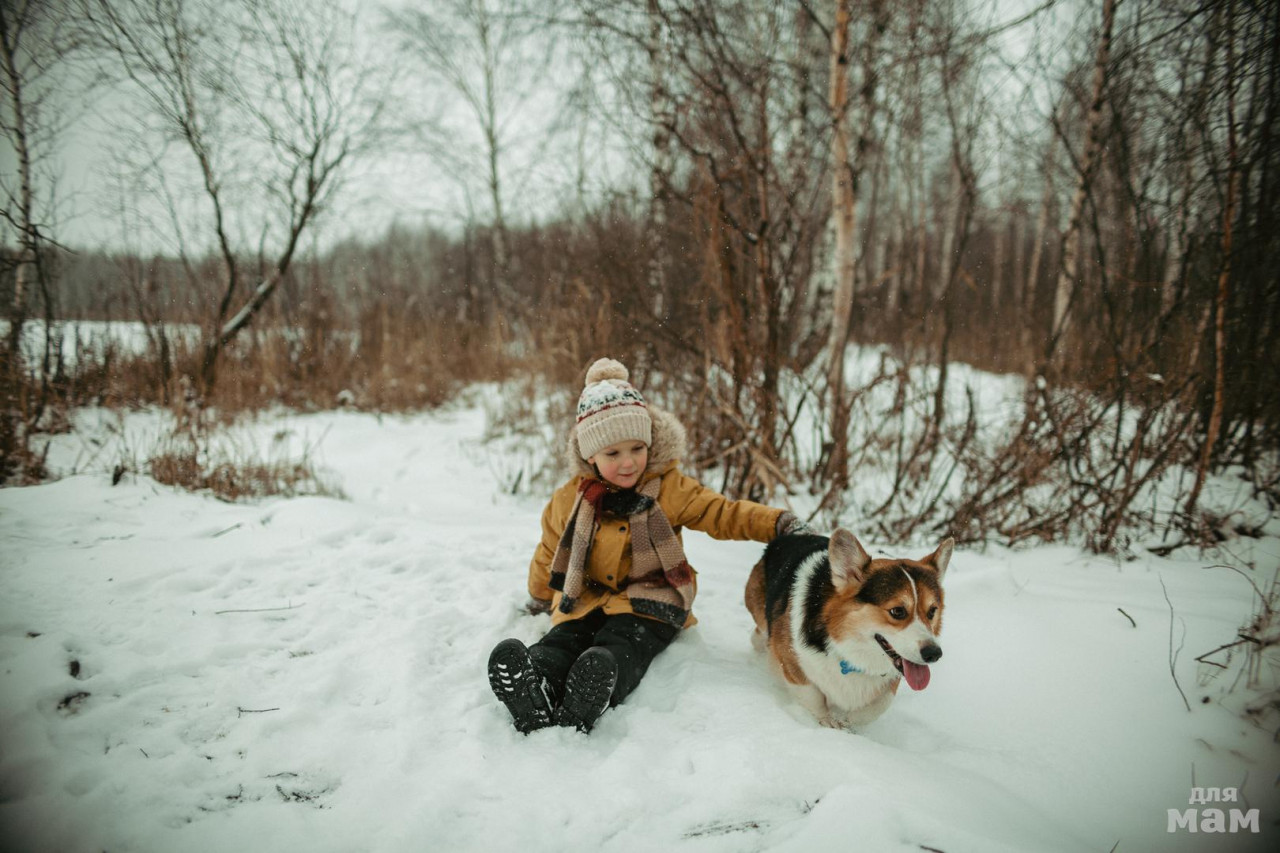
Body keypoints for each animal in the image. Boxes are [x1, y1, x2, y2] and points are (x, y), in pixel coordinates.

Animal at [744, 529, 951, 728]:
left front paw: (848, 721)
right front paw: (827, 722)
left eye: (932, 611)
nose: (934, 654)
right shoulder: (790, 658)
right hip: (761, 618)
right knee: (758, 635)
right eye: (897, 611)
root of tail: (792, 533)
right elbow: (812, 695)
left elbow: (879, 704)